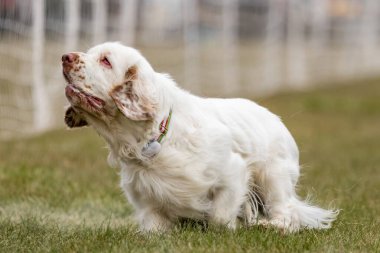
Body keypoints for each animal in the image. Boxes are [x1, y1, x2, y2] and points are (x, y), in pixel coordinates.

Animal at [62, 42, 338, 233]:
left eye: (106, 61)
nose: (65, 57)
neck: (153, 141)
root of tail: (276, 118)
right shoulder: (146, 201)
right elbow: (154, 228)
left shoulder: (233, 172)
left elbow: (219, 217)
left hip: (273, 178)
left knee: (288, 214)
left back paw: (271, 227)